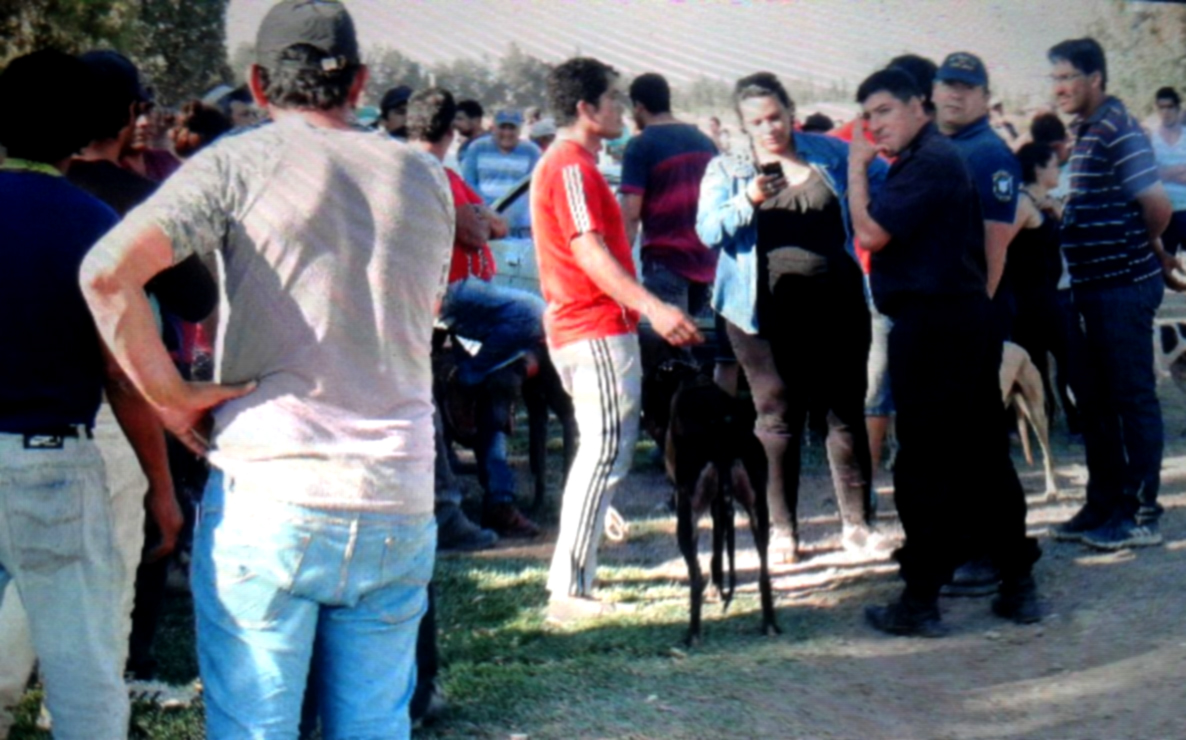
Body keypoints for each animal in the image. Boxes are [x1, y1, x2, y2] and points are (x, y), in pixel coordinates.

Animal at [649, 360, 778, 645]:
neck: (689, 377)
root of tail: (723, 436)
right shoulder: (720, 504)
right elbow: (719, 547)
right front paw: (718, 587)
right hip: (758, 510)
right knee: (764, 571)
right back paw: (770, 623)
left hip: (687, 516)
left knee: (695, 578)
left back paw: (692, 634)